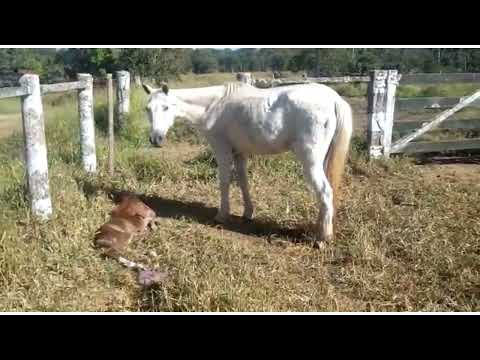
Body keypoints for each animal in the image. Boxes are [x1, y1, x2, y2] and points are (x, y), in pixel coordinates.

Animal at [142, 82, 352, 245]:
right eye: (148, 109)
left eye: (166, 107)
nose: (155, 139)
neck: (214, 105)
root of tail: (334, 98)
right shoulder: (239, 153)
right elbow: (243, 182)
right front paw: (248, 213)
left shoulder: (222, 149)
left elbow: (224, 182)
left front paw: (222, 215)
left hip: (310, 161)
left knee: (325, 191)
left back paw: (323, 238)